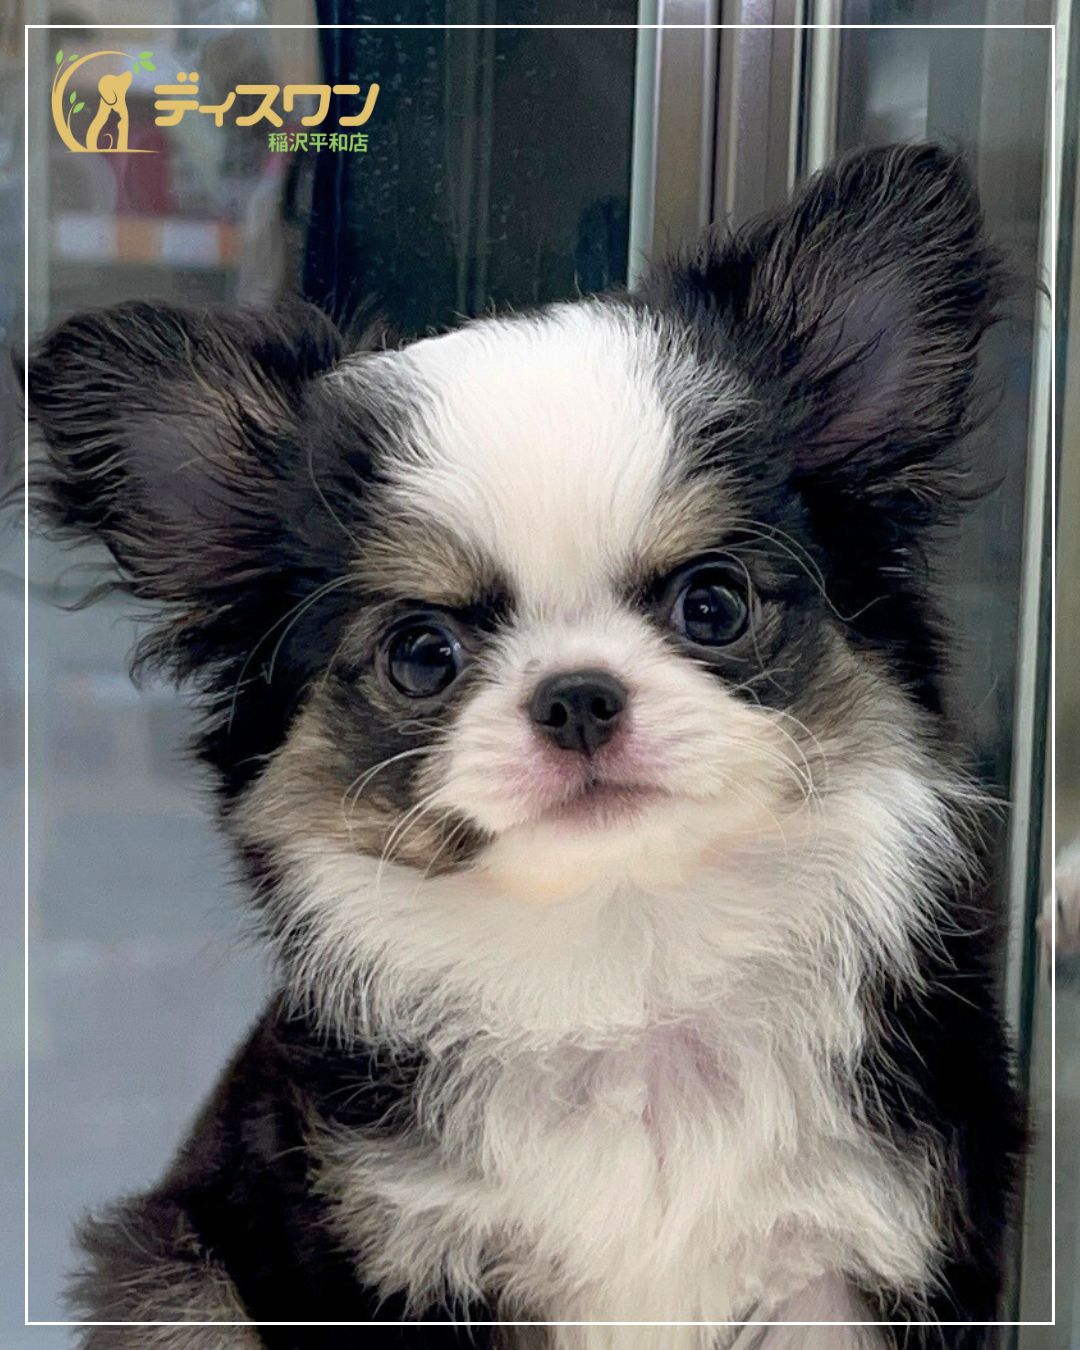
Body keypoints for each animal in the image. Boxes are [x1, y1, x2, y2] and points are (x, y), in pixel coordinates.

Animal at [29, 143, 1023, 1348]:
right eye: (421, 654)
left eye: (715, 604)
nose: (578, 696)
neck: (626, 961)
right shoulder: (393, 1255)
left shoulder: (848, 1265)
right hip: (174, 1281)